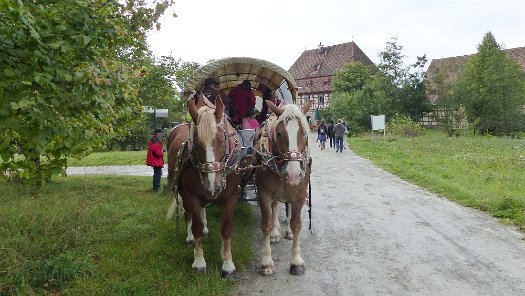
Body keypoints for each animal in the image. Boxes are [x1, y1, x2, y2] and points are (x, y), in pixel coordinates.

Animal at [166, 94, 242, 278]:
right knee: (190, 215)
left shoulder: (231, 197)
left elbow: (226, 229)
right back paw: (190, 238)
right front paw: (199, 261)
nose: (213, 187)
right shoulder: (191, 195)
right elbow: (196, 227)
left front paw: (227, 264)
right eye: (196, 141)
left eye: (222, 138)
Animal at [253, 99, 312, 276]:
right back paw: (275, 233)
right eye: (279, 134)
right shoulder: (264, 194)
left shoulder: (300, 194)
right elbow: (266, 224)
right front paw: (266, 262)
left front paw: (296, 261)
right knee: (274, 208)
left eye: (304, 133)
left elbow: (297, 224)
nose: (293, 175)